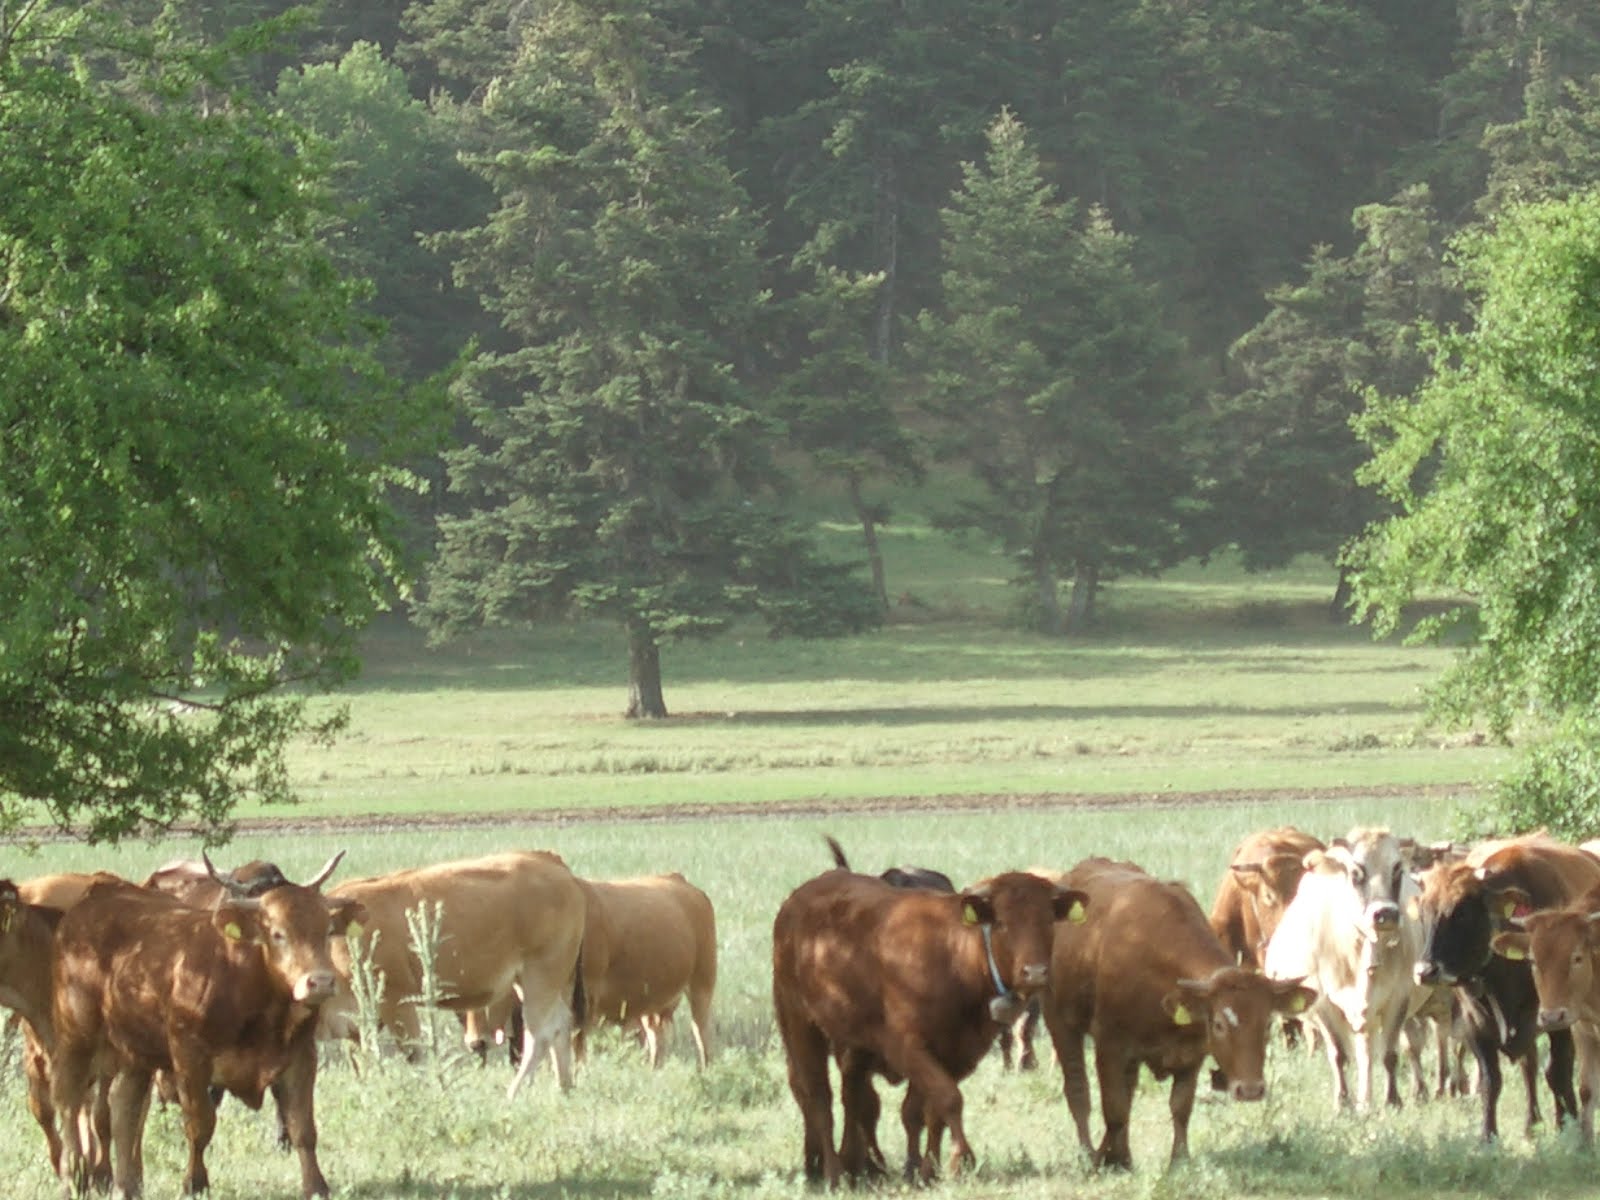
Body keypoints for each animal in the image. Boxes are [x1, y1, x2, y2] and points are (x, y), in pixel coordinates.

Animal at [53, 857, 363, 1200]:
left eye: (327, 931)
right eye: (278, 933)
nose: (320, 981)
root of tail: (93, 901)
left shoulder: (301, 1056)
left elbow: (302, 1127)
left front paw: (317, 1186)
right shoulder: (189, 1058)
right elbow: (200, 1124)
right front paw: (195, 1182)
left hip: (135, 1052)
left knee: (124, 1110)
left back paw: (127, 1186)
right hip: (76, 1037)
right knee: (68, 1102)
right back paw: (72, 1178)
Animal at [321, 844, 585, 1100]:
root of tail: (552, 863)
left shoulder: (395, 1000)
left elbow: (413, 1053)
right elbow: (359, 1060)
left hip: (540, 977)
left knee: (541, 1033)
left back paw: (513, 1094)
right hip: (537, 983)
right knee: (561, 1023)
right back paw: (564, 1088)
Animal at [764, 864, 1088, 1184]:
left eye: (1048, 920)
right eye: (1001, 922)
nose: (1035, 972)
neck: (951, 956)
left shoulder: (958, 1053)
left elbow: (928, 1111)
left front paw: (927, 1167)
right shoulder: (906, 1047)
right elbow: (949, 1098)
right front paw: (961, 1160)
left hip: (852, 1043)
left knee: (854, 1098)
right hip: (800, 1025)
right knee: (819, 1100)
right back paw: (834, 1173)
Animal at [1049, 857, 1312, 1171]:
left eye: (1266, 1024)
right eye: (1219, 1024)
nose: (1250, 1090)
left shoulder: (1192, 1055)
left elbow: (1179, 1107)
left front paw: (1178, 1159)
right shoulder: (1110, 1045)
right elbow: (1114, 1107)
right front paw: (1112, 1160)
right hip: (1061, 1023)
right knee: (1078, 1089)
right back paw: (1089, 1152)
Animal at [1260, 832, 1440, 1113]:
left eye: (1397, 868)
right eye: (1356, 871)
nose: (1385, 913)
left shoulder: (1398, 998)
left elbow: (1390, 1055)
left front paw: (1392, 1101)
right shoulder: (1323, 1003)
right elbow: (1339, 1054)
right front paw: (1342, 1102)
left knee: (1407, 1045)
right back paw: (1364, 1101)